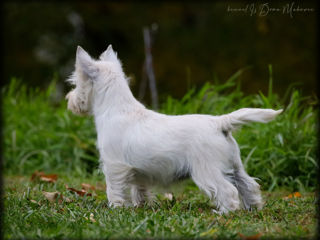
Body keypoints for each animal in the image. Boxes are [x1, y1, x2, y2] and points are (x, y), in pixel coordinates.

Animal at [66, 45, 282, 214]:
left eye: (75, 83)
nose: (69, 100)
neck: (116, 107)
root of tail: (219, 122)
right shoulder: (137, 172)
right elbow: (140, 190)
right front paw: (141, 206)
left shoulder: (113, 166)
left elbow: (114, 189)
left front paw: (116, 208)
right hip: (235, 166)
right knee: (249, 185)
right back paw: (253, 208)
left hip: (207, 170)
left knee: (228, 190)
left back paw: (224, 212)